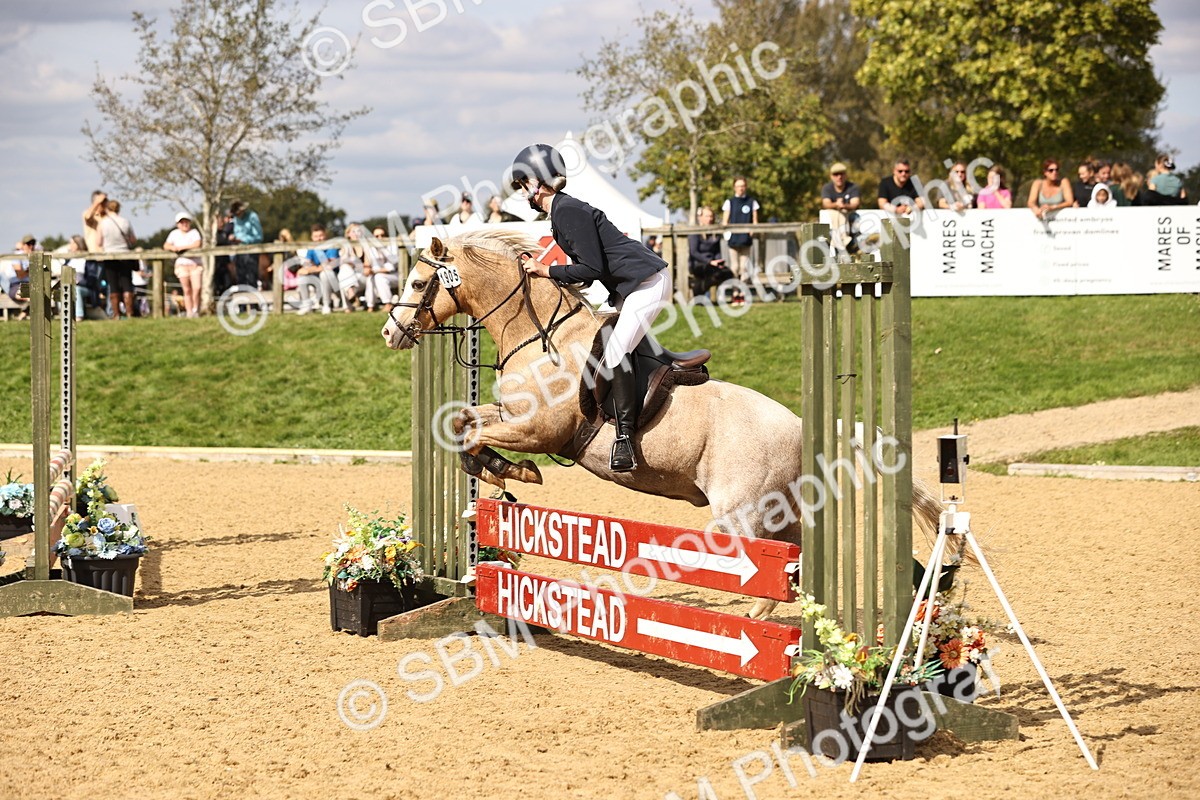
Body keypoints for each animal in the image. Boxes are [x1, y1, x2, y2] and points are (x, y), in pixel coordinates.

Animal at [381, 228, 941, 619]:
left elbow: (474, 432)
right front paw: (502, 475)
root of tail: (800, 425)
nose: (390, 333)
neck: (537, 334)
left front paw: (514, 473)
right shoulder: (514, 417)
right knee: (794, 562)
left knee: (768, 575)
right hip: (781, 510)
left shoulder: (540, 429)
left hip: (742, 512)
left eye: (418, 282)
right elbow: (463, 422)